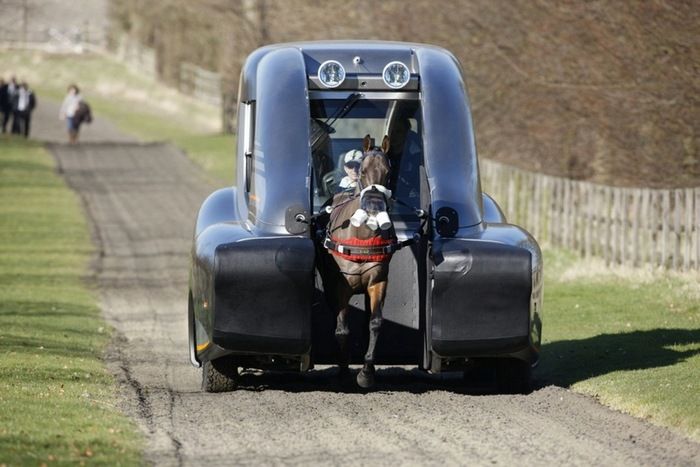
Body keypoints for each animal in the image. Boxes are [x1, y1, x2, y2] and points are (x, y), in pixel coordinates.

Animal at [320, 133, 396, 390]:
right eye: (363, 171)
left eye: (388, 172)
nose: (373, 207)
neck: (361, 237)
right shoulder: (341, 284)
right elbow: (342, 328)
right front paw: (343, 371)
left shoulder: (377, 281)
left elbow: (375, 322)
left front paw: (366, 371)